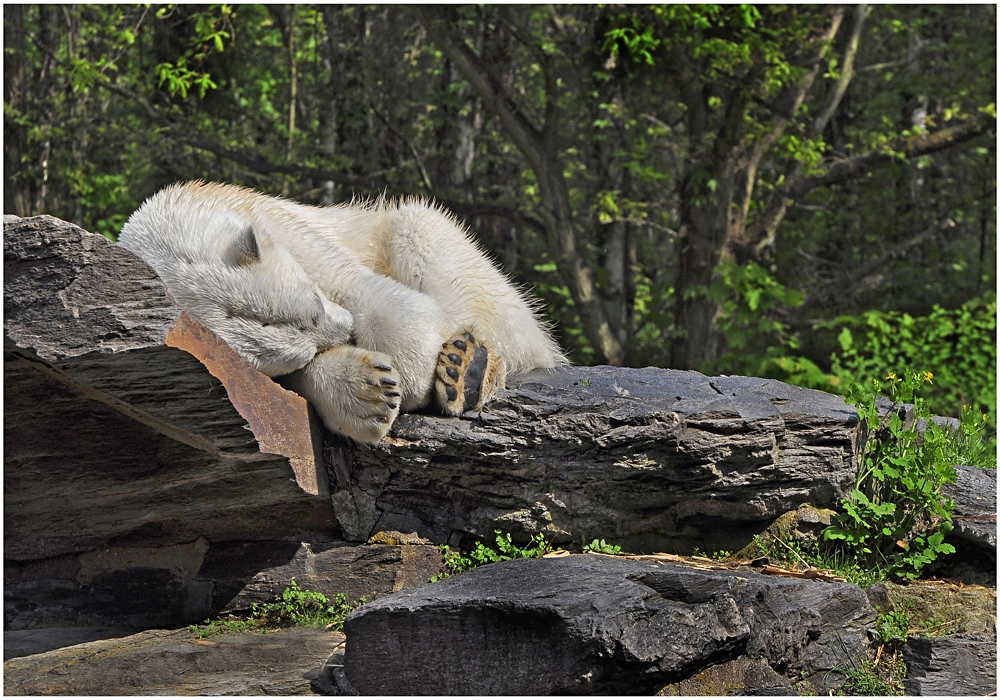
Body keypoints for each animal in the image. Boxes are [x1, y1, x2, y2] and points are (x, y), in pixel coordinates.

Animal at [119, 182, 564, 442]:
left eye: (314, 302)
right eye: (301, 353)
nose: (347, 332)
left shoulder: (271, 218)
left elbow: (348, 279)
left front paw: (417, 366)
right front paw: (371, 392)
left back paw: (467, 367)